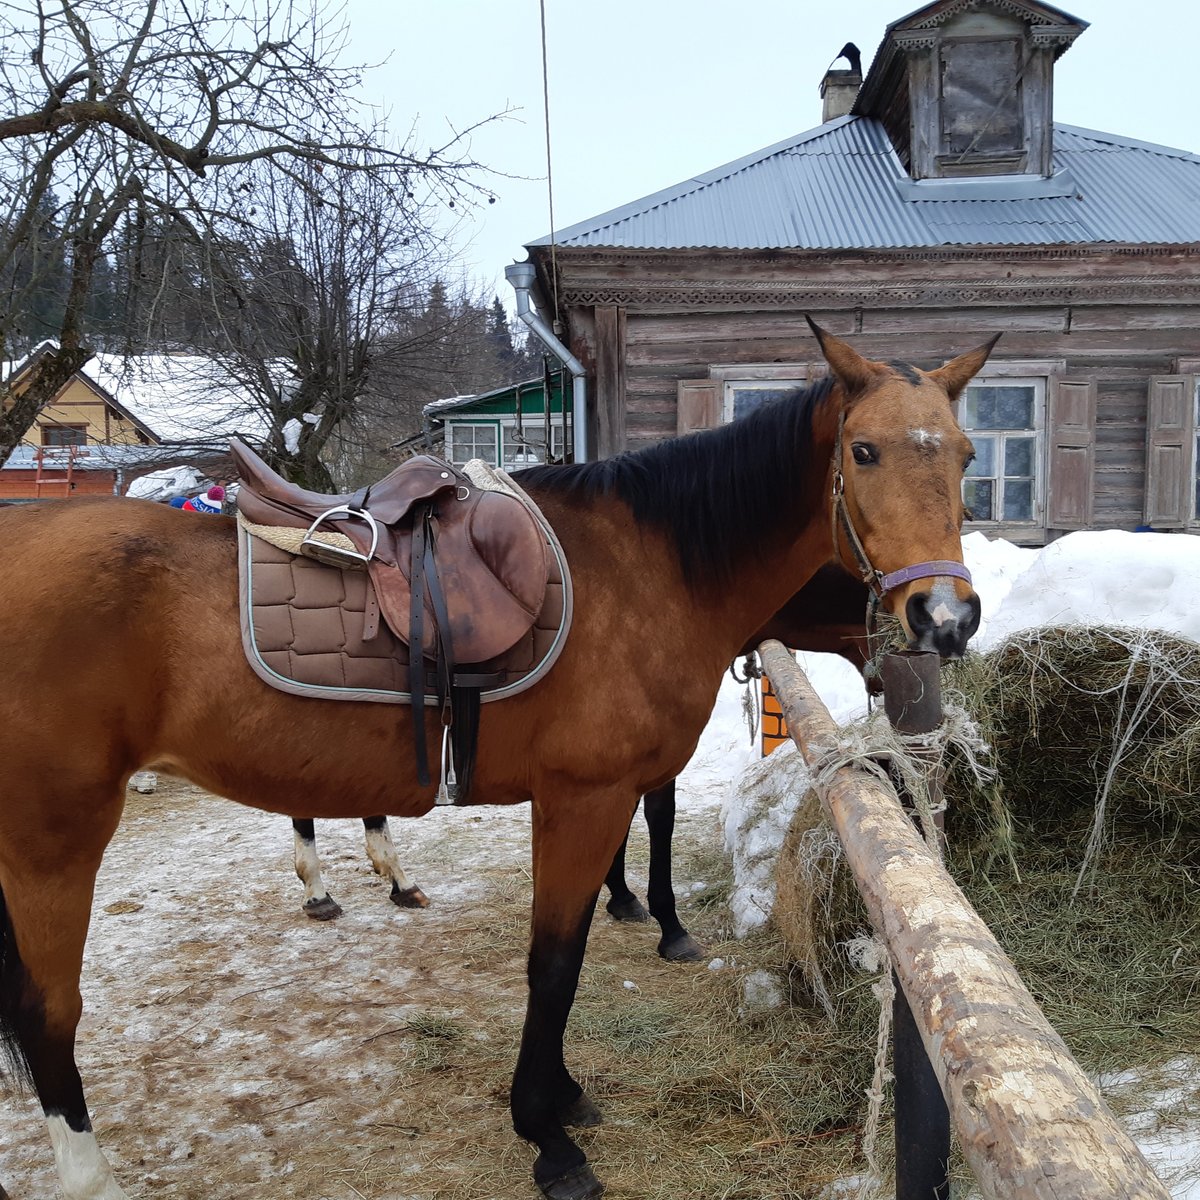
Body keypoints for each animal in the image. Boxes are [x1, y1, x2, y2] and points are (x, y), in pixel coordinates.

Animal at [0, 326, 993, 1200]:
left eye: (966, 454)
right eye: (863, 452)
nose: (945, 619)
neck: (653, 565)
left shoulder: (593, 800)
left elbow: (575, 948)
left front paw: (563, 1095)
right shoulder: (585, 798)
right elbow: (553, 965)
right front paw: (546, 1136)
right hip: (54, 839)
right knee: (48, 1015)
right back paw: (91, 1180)